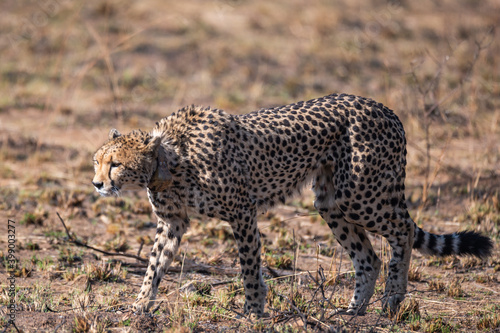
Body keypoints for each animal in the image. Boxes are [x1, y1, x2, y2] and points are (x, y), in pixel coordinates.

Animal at [93, 92, 492, 316]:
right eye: (96, 160)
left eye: (115, 164)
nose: (97, 183)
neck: (169, 160)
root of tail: (386, 110)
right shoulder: (172, 222)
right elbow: (154, 265)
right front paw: (140, 304)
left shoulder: (242, 212)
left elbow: (249, 266)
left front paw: (253, 311)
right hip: (331, 203)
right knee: (368, 256)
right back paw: (352, 311)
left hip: (360, 195)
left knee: (404, 230)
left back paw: (392, 300)